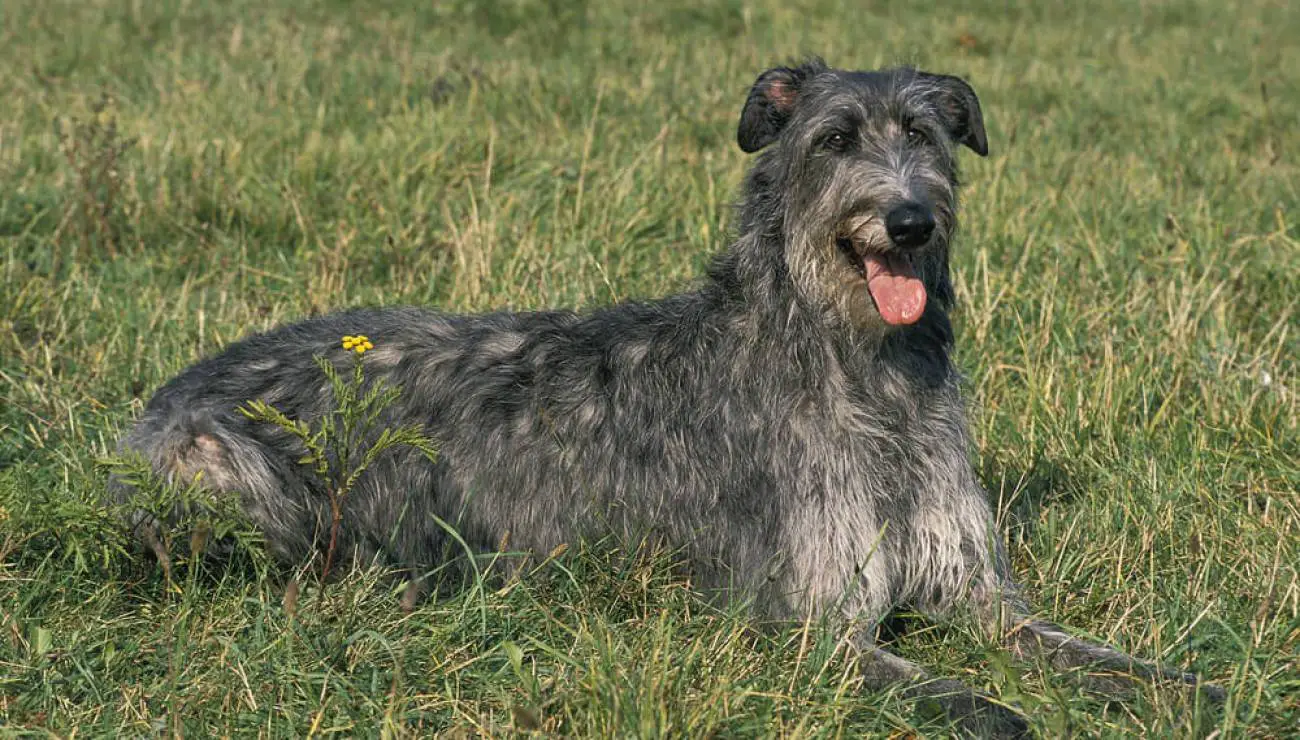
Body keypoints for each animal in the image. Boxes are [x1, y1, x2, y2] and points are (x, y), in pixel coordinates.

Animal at [116, 62, 1222, 733]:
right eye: (832, 140)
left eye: (924, 134)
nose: (908, 220)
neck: (856, 370)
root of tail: (165, 393)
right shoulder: (804, 624)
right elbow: (974, 702)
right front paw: (1006, 710)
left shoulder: (979, 592)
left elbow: (1090, 652)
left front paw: (1194, 686)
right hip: (228, 471)